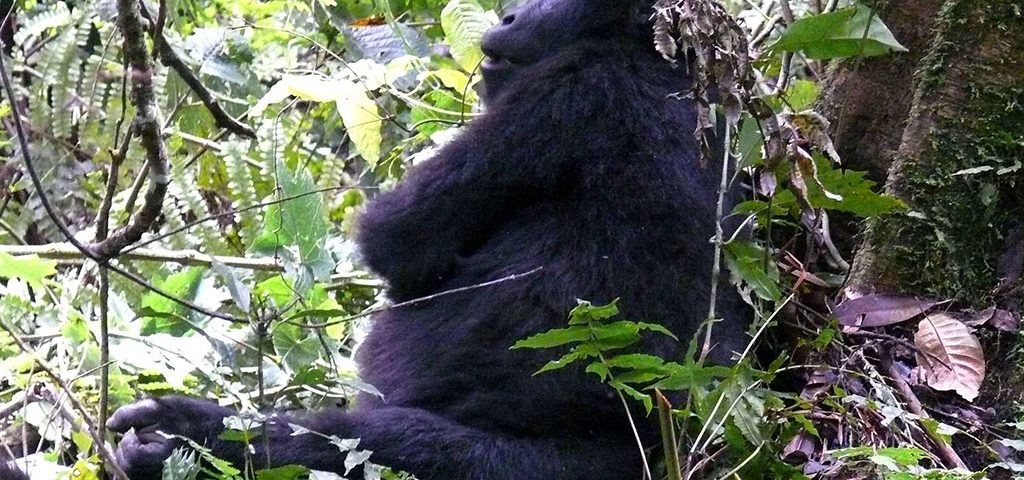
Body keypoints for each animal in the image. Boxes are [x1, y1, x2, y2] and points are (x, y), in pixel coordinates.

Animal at [103, 0, 749, 478]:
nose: (509, 15)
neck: (655, 55)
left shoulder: (571, 84)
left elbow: (395, 242)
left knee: (371, 447)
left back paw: (195, 439)